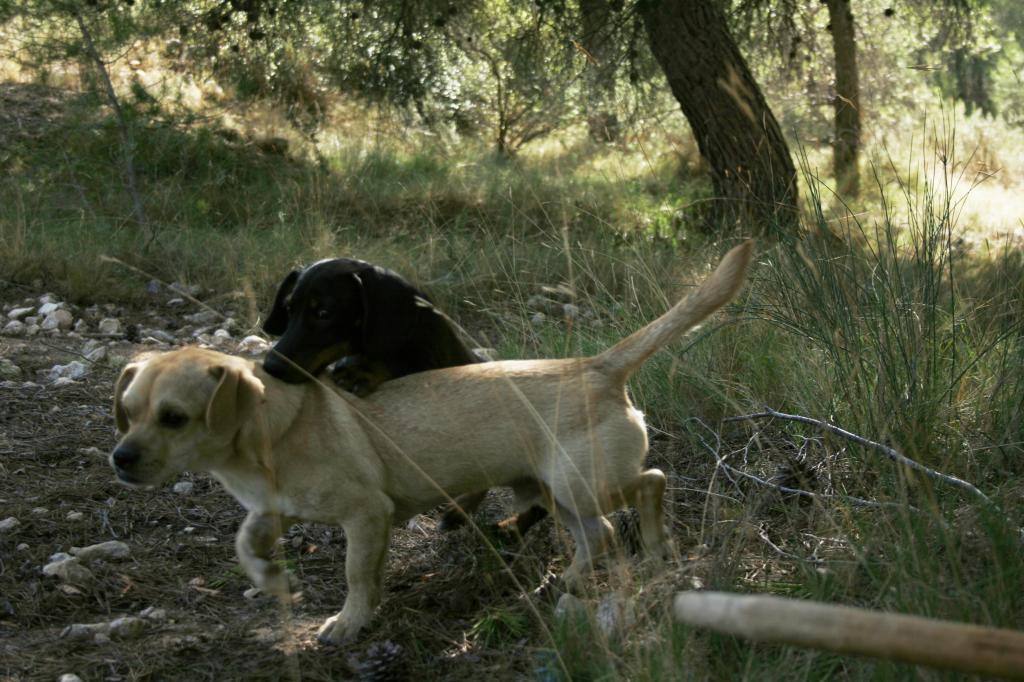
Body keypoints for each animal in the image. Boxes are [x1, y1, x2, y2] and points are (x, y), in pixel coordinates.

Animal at [264, 258, 552, 532]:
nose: (270, 366)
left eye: (324, 313)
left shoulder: (430, 367)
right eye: (288, 310)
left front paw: (361, 372)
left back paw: (504, 525)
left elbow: (395, 363)